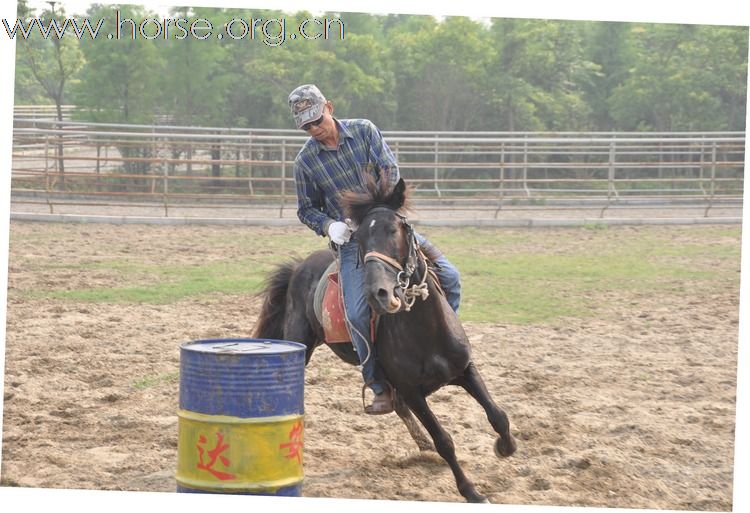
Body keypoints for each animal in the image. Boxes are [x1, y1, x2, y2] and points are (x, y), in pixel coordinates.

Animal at [253, 176, 516, 500]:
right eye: (360, 238)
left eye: (395, 229)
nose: (379, 293)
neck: (425, 330)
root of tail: (299, 267)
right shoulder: (413, 391)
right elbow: (444, 441)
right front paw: (471, 492)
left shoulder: (465, 368)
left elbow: (497, 414)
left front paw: (506, 446)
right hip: (301, 345)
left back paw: (423, 445)